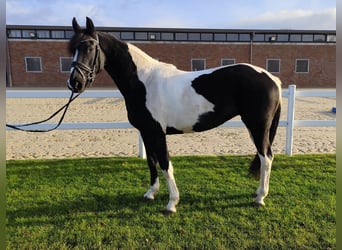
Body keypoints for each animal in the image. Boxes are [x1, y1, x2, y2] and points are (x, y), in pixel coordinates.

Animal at [67, 17, 280, 213]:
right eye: (72, 49)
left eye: (90, 47)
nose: (75, 82)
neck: (144, 82)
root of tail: (271, 78)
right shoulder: (146, 132)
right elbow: (151, 162)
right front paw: (151, 193)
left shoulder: (158, 133)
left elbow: (165, 164)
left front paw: (172, 203)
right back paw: (258, 193)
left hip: (258, 126)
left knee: (266, 157)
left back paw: (260, 198)